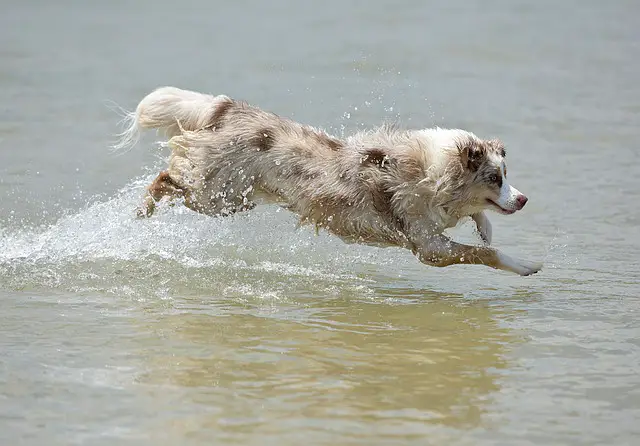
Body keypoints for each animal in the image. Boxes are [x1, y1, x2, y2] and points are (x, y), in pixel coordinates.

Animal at [114, 86, 540, 276]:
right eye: (494, 178)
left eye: (506, 176)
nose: (523, 200)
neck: (431, 173)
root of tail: (229, 108)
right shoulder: (429, 247)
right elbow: (484, 254)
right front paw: (526, 265)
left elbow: (479, 224)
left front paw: (485, 228)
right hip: (217, 197)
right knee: (165, 178)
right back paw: (141, 211)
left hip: (234, 197)